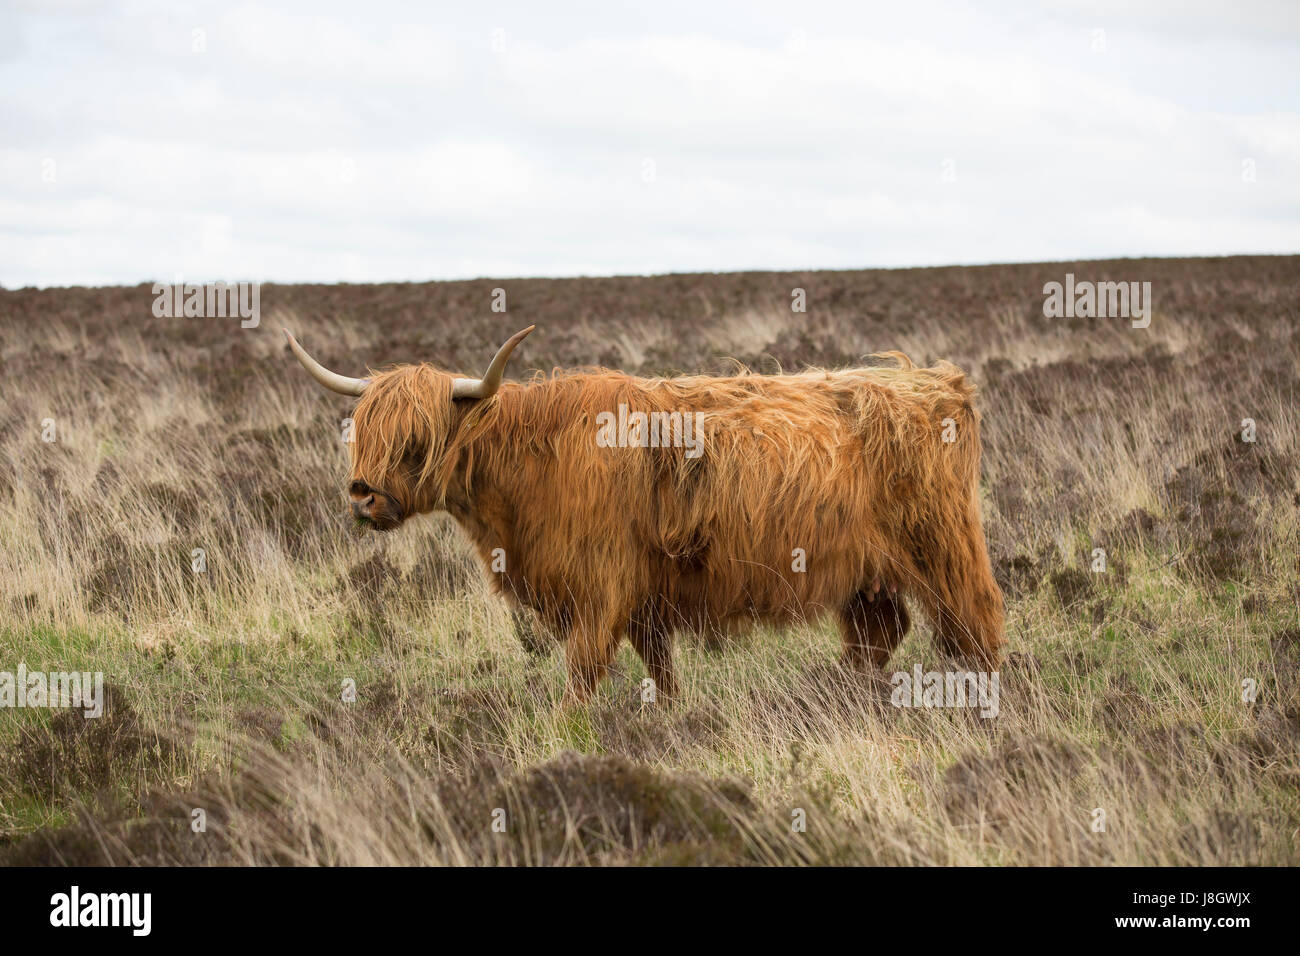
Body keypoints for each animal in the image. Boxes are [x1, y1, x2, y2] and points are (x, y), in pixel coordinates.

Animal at [287, 327, 1003, 702]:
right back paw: (848, 697)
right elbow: (659, 664)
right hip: (866, 573)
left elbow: (583, 673)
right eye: (363, 431)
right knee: (878, 632)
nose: (363, 496)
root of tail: (936, 383)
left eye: (419, 438)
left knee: (975, 627)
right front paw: (671, 714)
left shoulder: (600, 585)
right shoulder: (642, 592)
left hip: (946, 548)